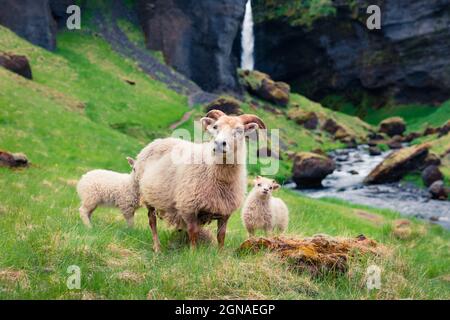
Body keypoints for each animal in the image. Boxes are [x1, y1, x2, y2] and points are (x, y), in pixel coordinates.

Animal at [134, 110, 268, 252]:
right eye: (215, 127)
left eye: (239, 130)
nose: (219, 144)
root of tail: (158, 141)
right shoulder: (189, 207)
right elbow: (193, 233)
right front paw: (193, 253)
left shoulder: (224, 211)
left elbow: (221, 235)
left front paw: (220, 253)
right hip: (147, 197)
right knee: (152, 221)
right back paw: (157, 247)